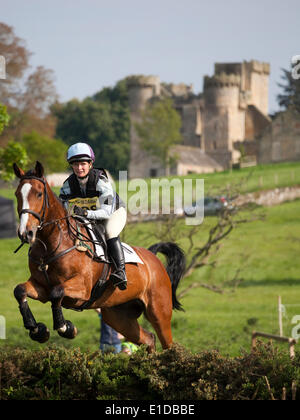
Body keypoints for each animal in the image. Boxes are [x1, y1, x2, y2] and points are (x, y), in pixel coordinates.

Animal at [12, 161, 185, 352]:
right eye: (17, 194)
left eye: (39, 194)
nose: (26, 233)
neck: (53, 244)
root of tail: (152, 258)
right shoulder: (41, 287)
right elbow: (20, 290)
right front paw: (37, 330)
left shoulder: (82, 288)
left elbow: (56, 293)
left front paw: (66, 328)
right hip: (118, 316)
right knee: (149, 339)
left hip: (159, 312)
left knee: (167, 343)